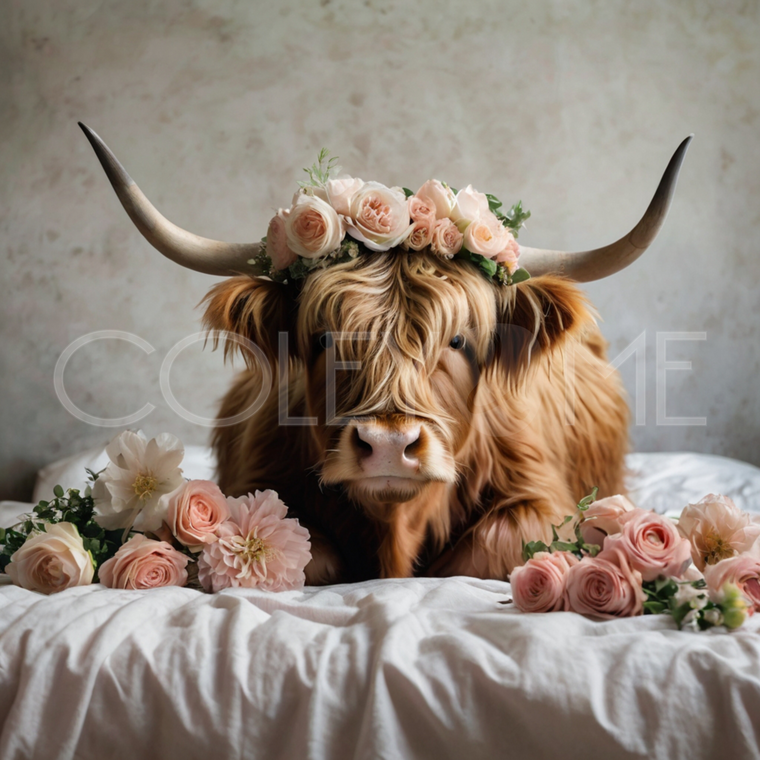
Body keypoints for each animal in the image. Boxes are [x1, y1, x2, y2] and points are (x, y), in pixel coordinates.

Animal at [80, 123, 691, 584]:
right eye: (324, 339)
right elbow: (304, 554)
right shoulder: (247, 487)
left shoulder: (543, 499)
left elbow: (490, 550)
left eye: (458, 340)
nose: (391, 445)